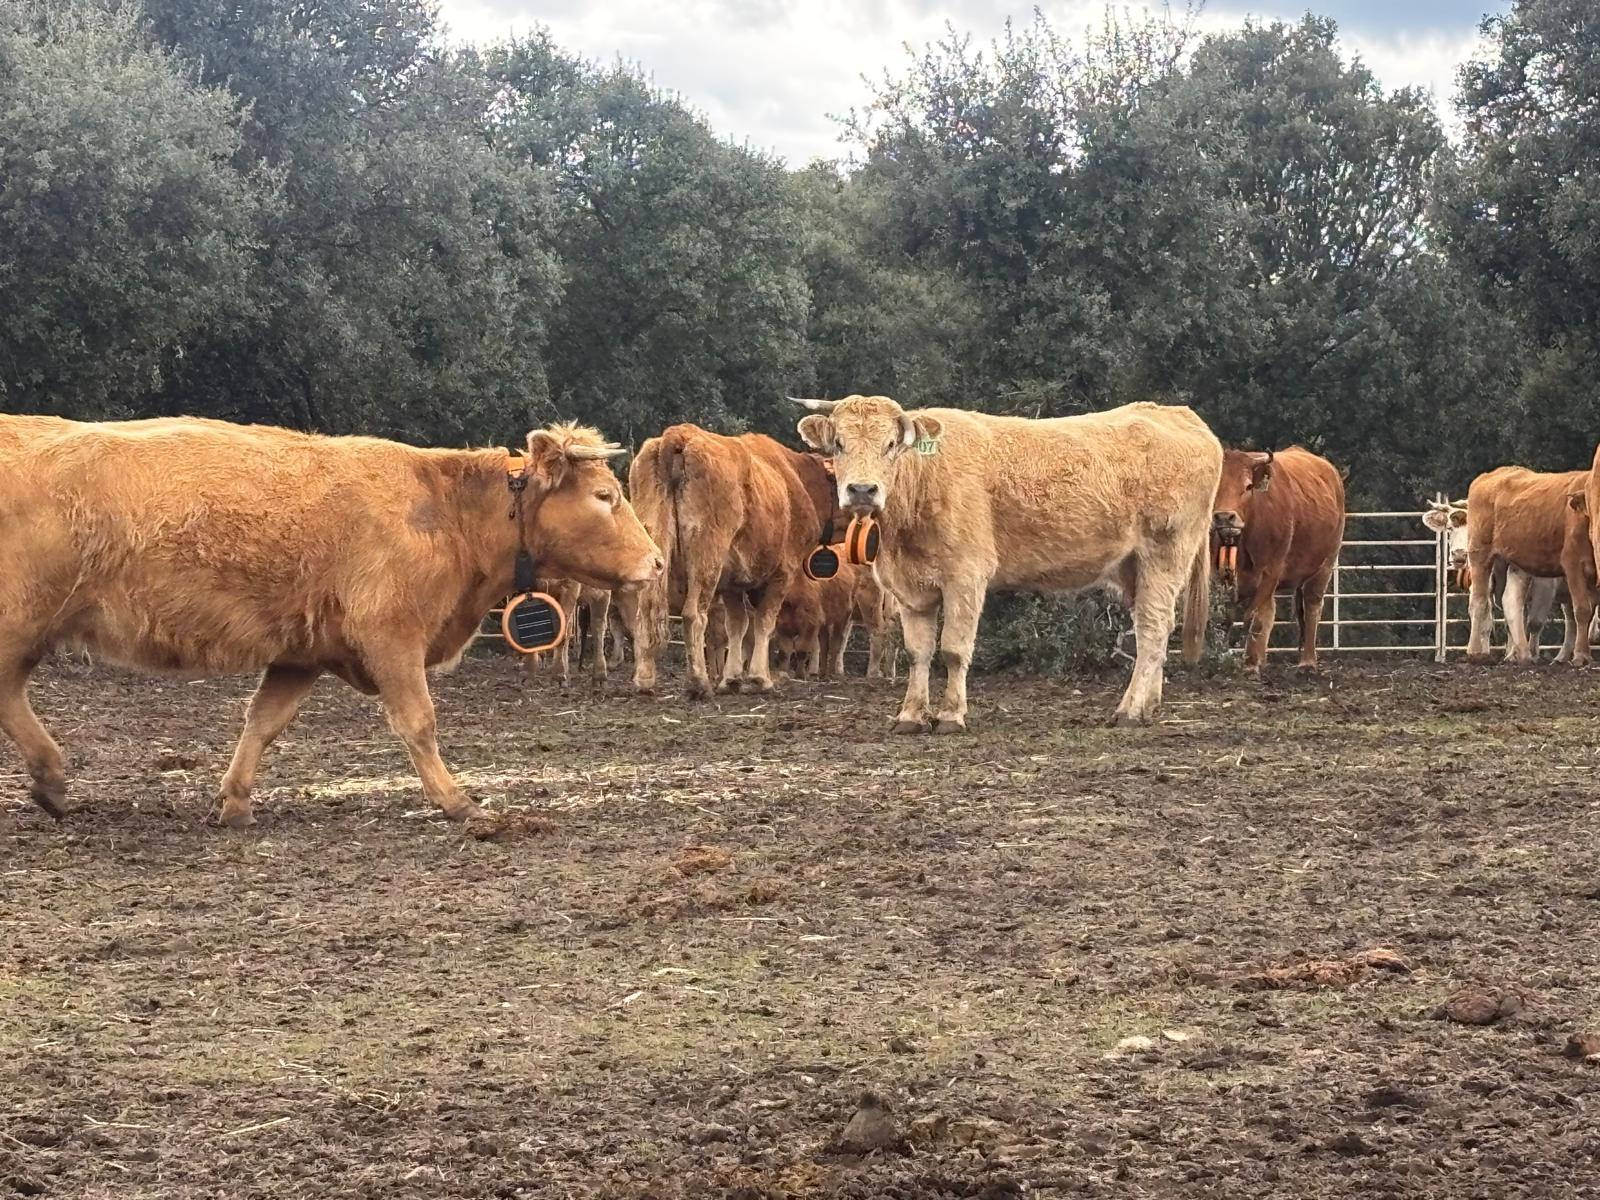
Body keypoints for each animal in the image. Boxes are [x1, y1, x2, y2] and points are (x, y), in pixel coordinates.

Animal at [0, 415, 661, 827]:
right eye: (605, 496)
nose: (656, 562)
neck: (445, 509)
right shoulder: (392, 637)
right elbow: (419, 722)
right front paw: (456, 801)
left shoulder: (302, 655)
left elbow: (263, 723)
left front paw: (235, 801)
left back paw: (51, 780)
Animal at [624, 426, 835, 699]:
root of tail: (678, 434)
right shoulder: (782, 573)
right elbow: (764, 623)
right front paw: (760, 678)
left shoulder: (733, 583)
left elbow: (737, 625)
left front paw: (731, 679)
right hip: (707, 554)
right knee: (693, 615)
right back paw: (699, 682)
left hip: (654, 540)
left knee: (646, 612)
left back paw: (645, 680)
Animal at [790, 395, 1222, 730]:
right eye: (839, 444)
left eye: (892, 443)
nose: (862, 490)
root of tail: (1177, 414)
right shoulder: (912, 591)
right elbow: (918, 653)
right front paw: (911, 715)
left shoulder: (965, 577)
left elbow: (953, 650)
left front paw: (950, 716)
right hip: (1134, 567)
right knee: (1156, 629)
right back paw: (1148, 706)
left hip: (1164, 554)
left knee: (1152, 630)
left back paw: (1129, 711)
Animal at [1210, 447, 1345, 672]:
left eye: (1248, 486)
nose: (1224, 517)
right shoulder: (1218, 576)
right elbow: (1225, 619)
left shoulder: (1270, 572)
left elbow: (1254, 617)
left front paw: (1250, 665)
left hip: (1324, 565)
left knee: (1312, 608)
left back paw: (1307, 662)